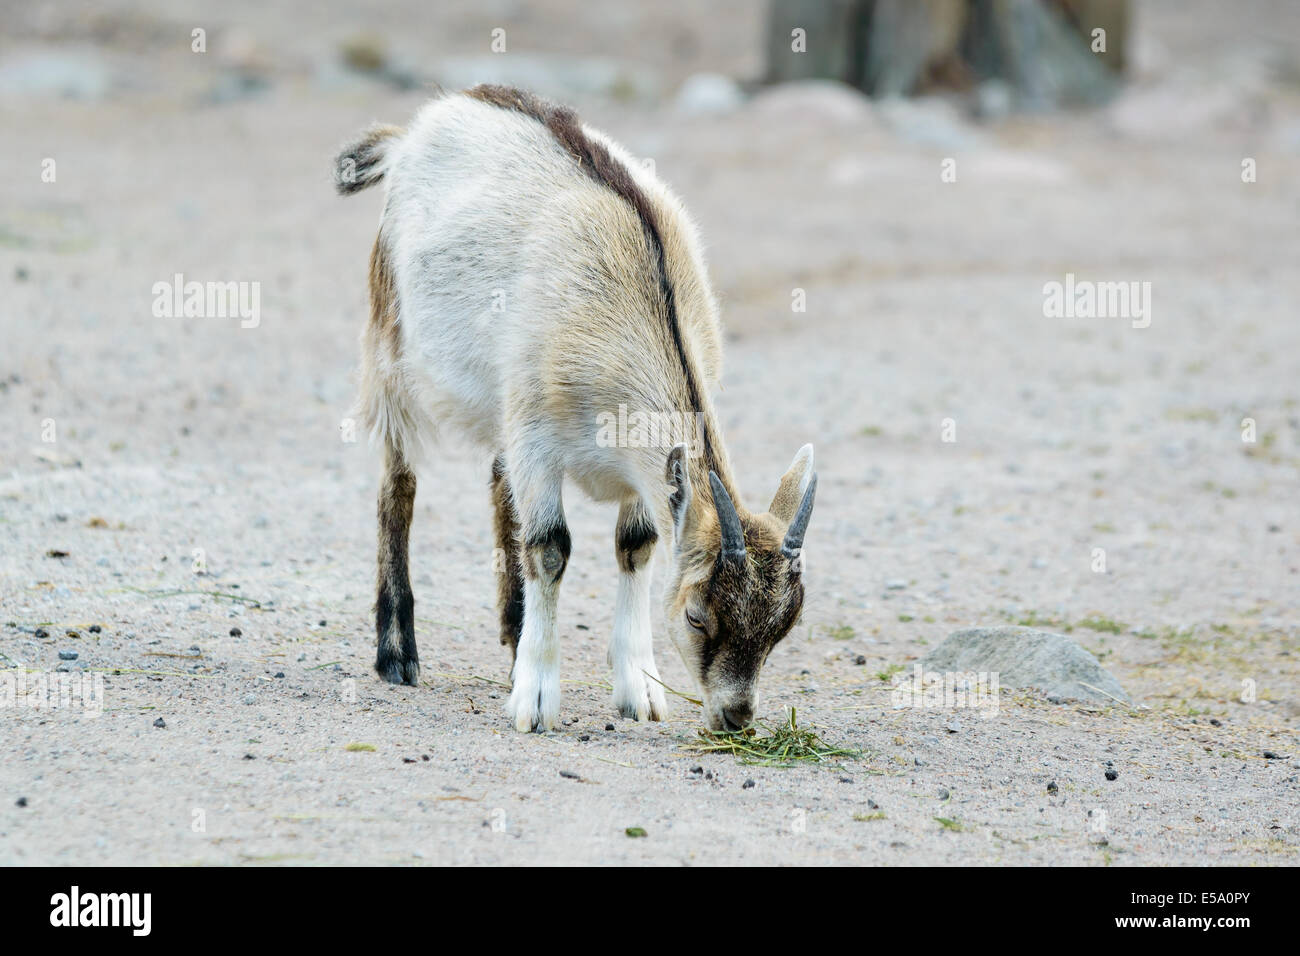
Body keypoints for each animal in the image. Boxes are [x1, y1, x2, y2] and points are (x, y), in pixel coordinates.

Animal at [340, 87, 816, 733]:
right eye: (697, 616)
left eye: (783, 626)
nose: (735, 717)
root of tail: (411, 133)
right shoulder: (539, 438)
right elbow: (549, 547)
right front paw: (536, 699)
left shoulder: (634, 461)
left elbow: (636, 545)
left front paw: (639, 689)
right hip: (389, 338)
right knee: (399, 483)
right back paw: (397, 654)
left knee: (499, 485)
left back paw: (513, 635)